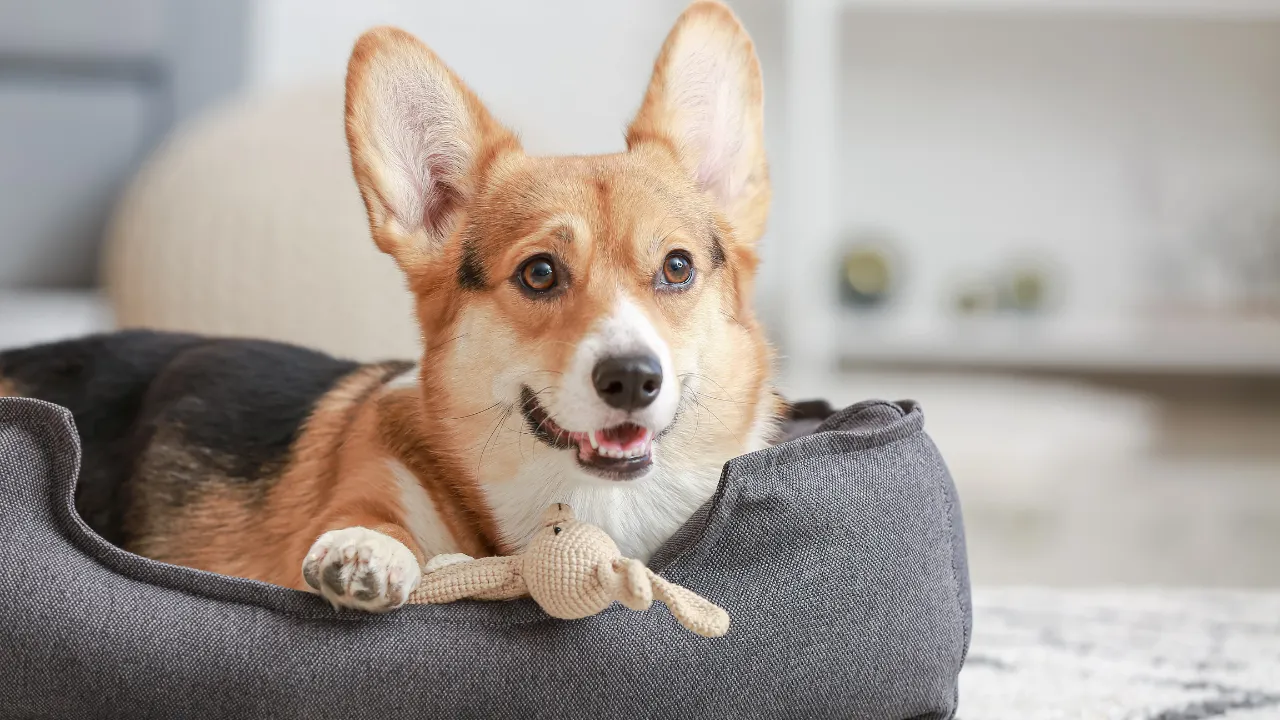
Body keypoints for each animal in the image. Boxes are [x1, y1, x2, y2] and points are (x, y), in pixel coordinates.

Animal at [0, 1, 778, 609]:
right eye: (539, 274)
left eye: (676, 267)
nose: (633, 378)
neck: (582, 504)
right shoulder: (371, 485)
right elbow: (375, 524)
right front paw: (367, 553)